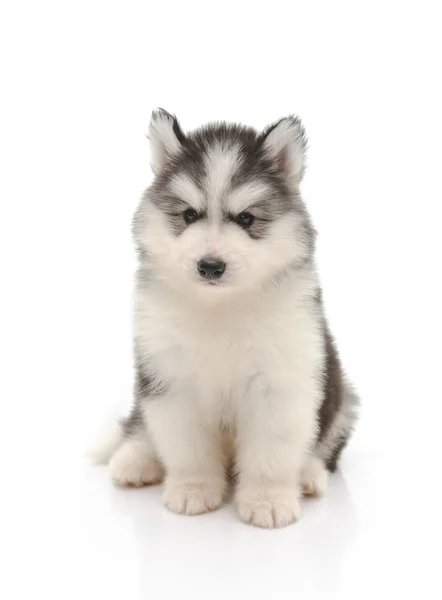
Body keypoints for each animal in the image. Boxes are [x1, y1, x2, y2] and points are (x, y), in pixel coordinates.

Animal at [93, 110, 360, 528]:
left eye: (246, 219)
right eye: (189, 214)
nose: (210, 265)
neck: (219, 307)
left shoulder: (280, 383)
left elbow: (271, 453)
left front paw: (268, 499)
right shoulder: (169, 377)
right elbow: (186, 447)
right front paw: (193, 488)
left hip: (342, 398)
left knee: (322, 447)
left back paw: (309, 475)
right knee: (140, 425)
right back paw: (135, 459)